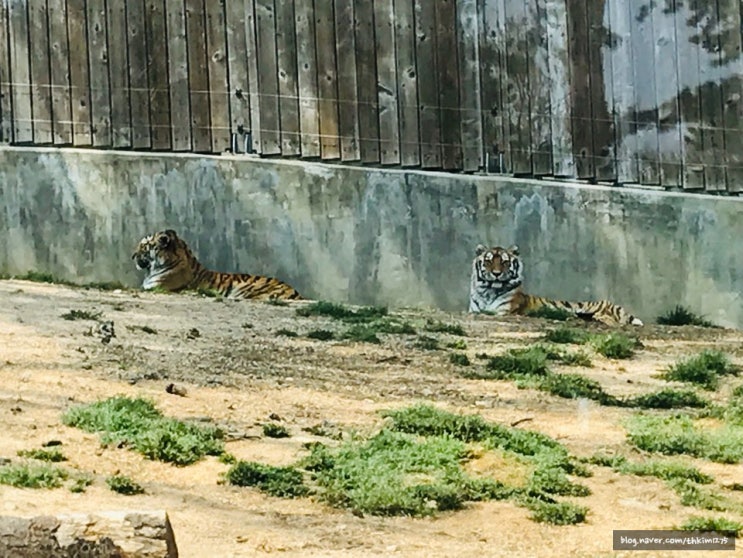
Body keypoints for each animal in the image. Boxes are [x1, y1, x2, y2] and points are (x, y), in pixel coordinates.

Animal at [468, 245, 644, 328]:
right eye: (488, 261)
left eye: (505, 262)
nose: (496, 273)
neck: (489, 291)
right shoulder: (474, 310)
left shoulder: (504, 312)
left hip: (598, 307)